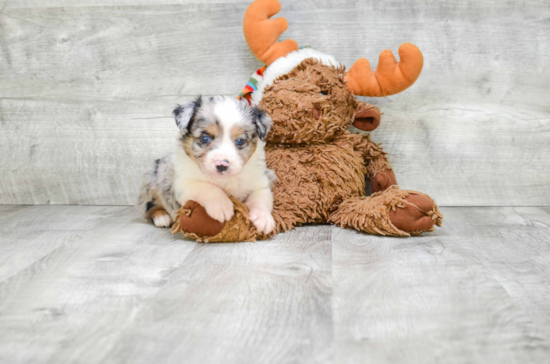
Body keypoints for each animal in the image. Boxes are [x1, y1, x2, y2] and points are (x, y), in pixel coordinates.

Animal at [138, 95, 276, 235]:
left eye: (240, 141)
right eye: (205, 138)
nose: (222, 165)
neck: (224, 180)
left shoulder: (260, 182)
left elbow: (260, 198)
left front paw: (263, 218)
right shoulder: (183, 184)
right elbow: (207, 186)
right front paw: (222, 206)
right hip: (153, 179)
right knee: (148, 207)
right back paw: (162, 217)